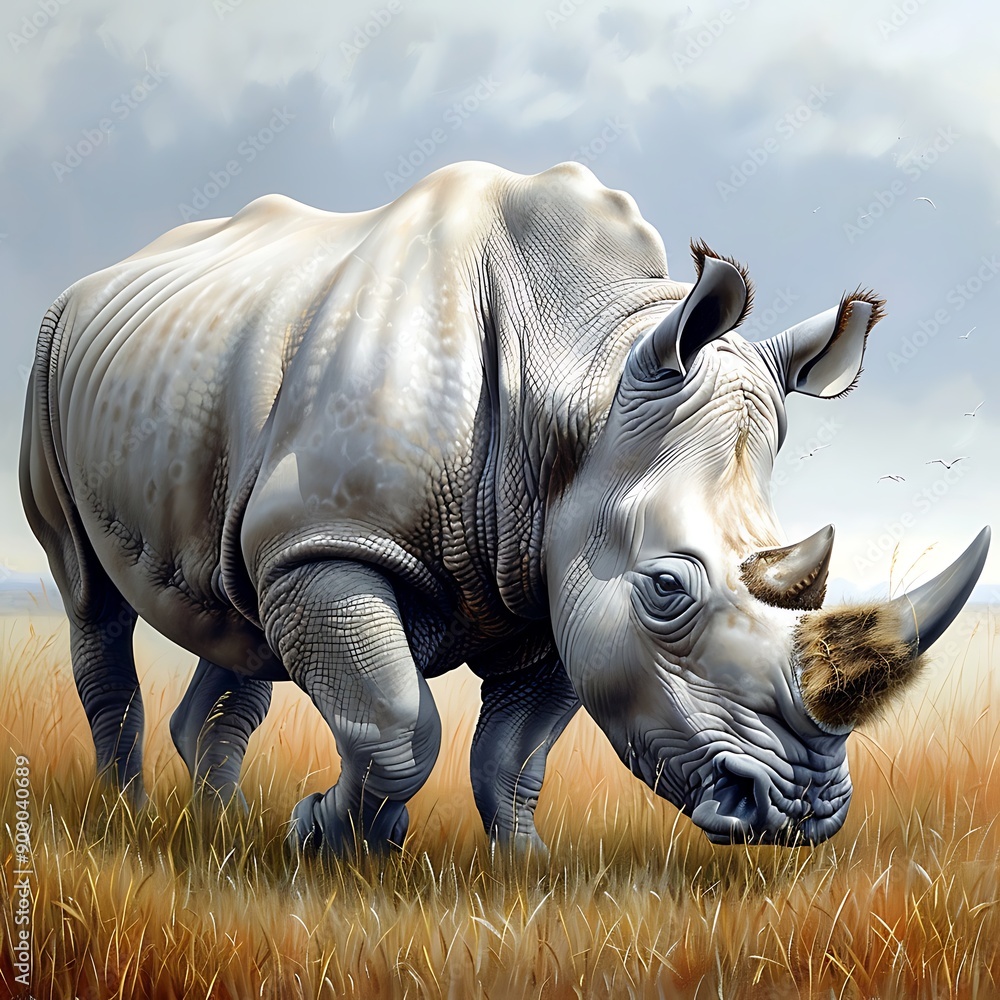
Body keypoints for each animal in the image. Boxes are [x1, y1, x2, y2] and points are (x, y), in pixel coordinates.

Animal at [20, 160, 989, 854]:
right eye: (668, 589)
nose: (802, 815)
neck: (583, 375)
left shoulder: (553, 571)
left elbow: (512, 756)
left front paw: (525, 871)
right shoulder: (335, 539)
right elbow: (394, 722)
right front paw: (330, 840)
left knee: (239, 608)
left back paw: (218, 828)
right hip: (49, 353)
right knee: (92, 600)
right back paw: (133, 819)